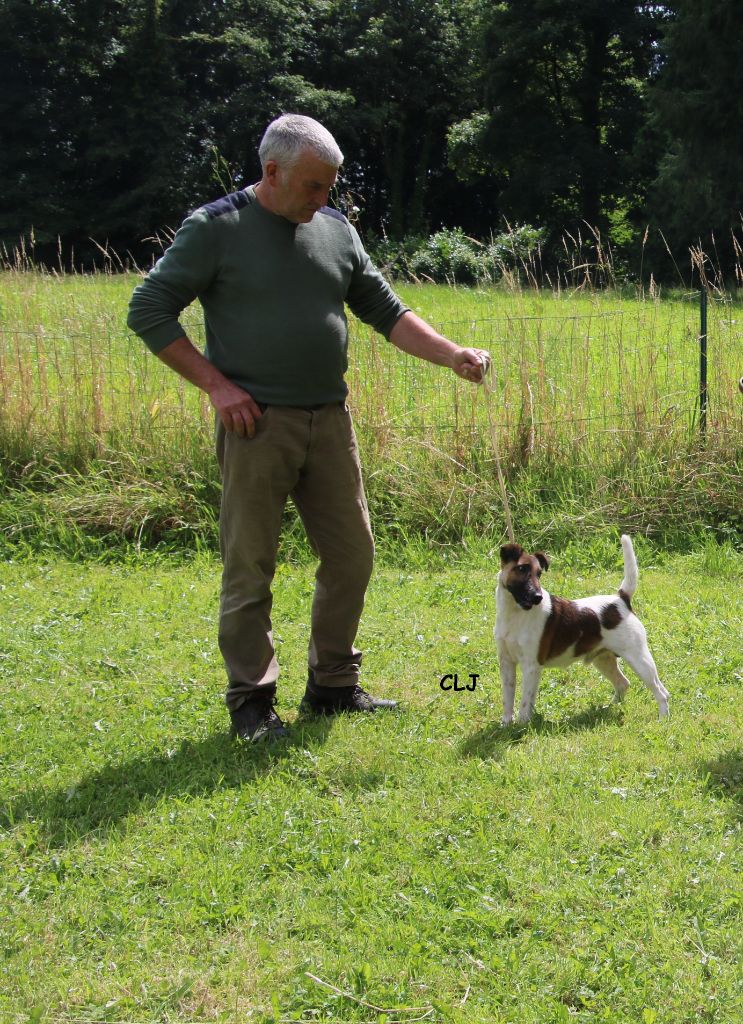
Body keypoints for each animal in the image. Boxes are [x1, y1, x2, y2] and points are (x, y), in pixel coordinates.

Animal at [497, 532, 671, 724]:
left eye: (539, 574)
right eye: (521, 569)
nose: (537, 597)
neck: (515, 614)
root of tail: (620, 599)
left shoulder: (531, 666)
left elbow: (525, 702)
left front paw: (522, 725)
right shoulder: (506, 662)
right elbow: (508, 697)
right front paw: (506, 723)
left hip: (639, 659)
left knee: (662, 692)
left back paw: (663, 719)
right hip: (603, 659)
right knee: (623, 683)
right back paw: (608, 708)